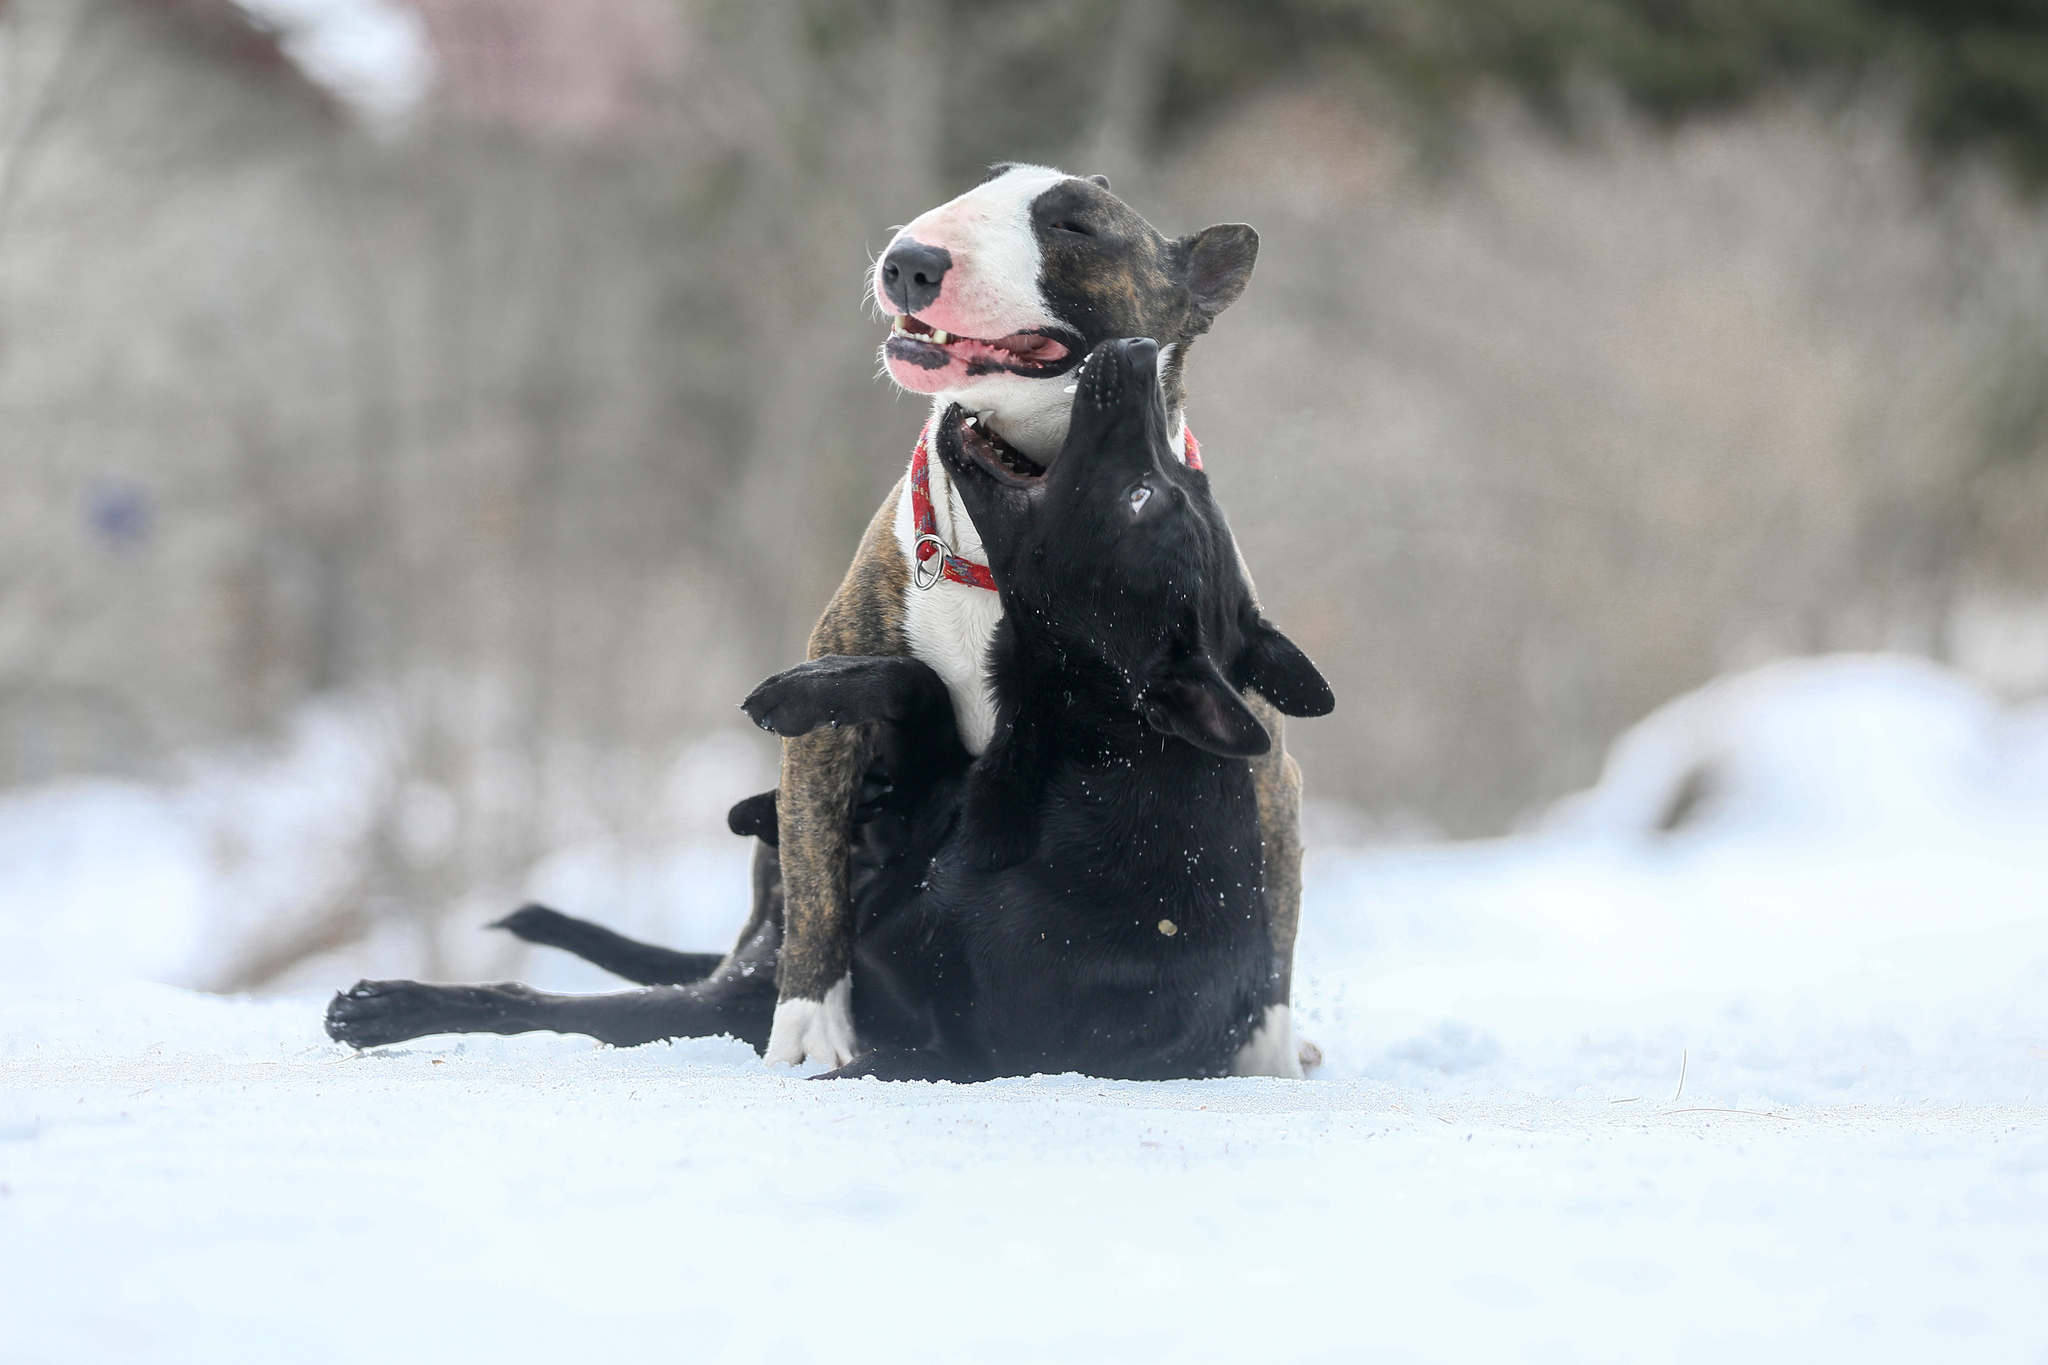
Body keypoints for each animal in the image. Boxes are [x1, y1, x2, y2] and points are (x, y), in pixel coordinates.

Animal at [321, 339, 1335, 1080]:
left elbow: (560, 1007)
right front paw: (804, 694)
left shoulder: (876, 1021)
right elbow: (916, 691)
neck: (1083, 760)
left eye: (1143, 496)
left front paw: (391, 1006)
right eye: (1185, 488)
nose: (1132, 347)